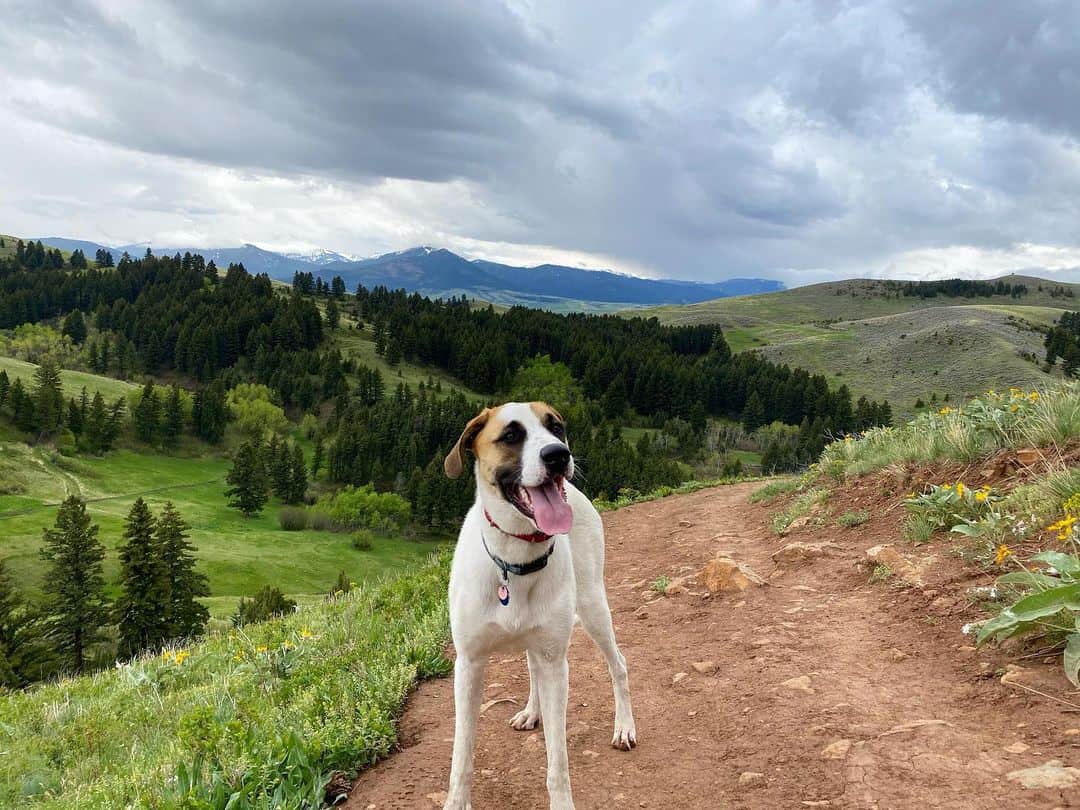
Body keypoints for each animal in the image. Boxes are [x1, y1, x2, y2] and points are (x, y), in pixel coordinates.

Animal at [442, 403, 635, 807]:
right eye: (511, 435)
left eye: (556, 427)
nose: (559, 456)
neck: (514, 560)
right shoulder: (469, 663)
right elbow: (462, 754)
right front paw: (457, 801)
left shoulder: (555, 662)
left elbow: (557, 759)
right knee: (532, 668)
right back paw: (532, 711)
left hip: (593, 607)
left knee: (619, 665)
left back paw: (625, 727)